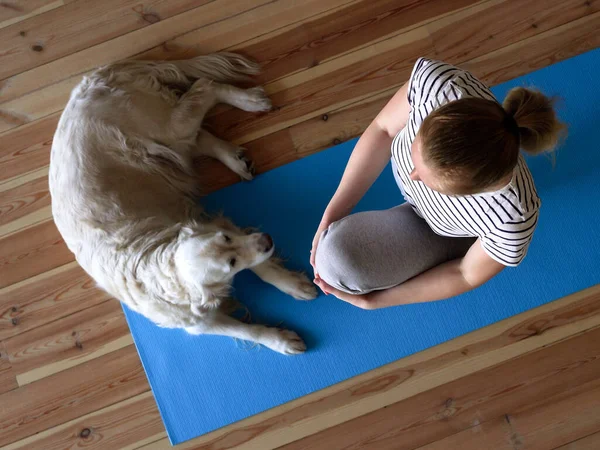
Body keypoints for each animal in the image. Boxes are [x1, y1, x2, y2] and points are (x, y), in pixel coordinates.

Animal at [50, 52, 318, 356]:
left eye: (227, 239)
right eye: (230, 262)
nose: (267, 239)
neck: (158, 266)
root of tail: (92, 78)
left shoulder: (214, 222)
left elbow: (262, 266)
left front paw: (292, 284)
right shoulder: (198, 322)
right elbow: (248, 330)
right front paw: (281, 340)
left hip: (166, 127)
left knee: (204, 87)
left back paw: (251, 101)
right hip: (165, 145)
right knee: (198, 130)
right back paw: (236, 157)